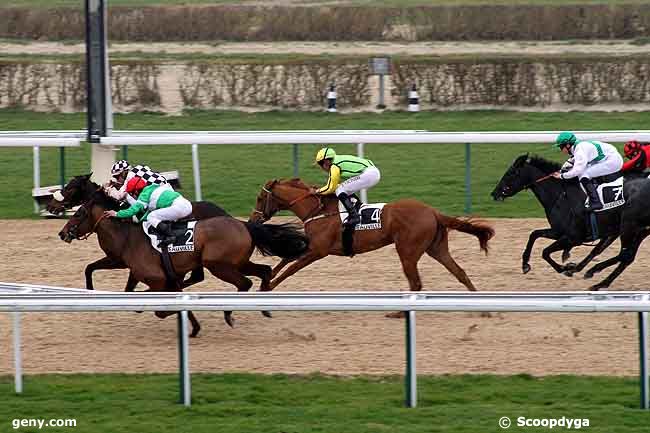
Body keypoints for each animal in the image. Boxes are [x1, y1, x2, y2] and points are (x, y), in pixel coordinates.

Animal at [46, 174, 228, 292]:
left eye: (70, 187)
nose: (50, 205)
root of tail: (224, 213)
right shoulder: (116, 259)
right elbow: (89, 268)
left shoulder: (119, 260)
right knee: (196, 277)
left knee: (194, 277)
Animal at [58, 188, 308, 334]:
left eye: (78, 213)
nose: (62, 233)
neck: (127, 235)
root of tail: (244, 224)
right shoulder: (129, 264)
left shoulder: (157, 280)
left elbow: (159, 306)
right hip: (237, 263)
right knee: (265, 271)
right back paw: (264, 307)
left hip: (218, 265)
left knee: (244, 283)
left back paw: (230, 313)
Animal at [248, 177, 492, 292]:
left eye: (260, 198)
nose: (253, 220)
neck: (317, 210)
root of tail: (433, 211)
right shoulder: (311, 246)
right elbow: (286, 259)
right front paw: (265, 279)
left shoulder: (318, 251)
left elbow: (291, 269)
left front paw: (268, 286)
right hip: (436, 248)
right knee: (459, 272)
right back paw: (483, 310)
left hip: (408, 251)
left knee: (416, 282)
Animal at [488, 154, 636, 276]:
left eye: (511, 173)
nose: (494, 193)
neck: (560, 196)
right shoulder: (558, 232)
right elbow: (534, 234)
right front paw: (525, 264)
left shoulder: (573, 237)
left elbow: (545, 252)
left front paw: (563, 267)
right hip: (613, 231)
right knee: (600, 250)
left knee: (617, 253)